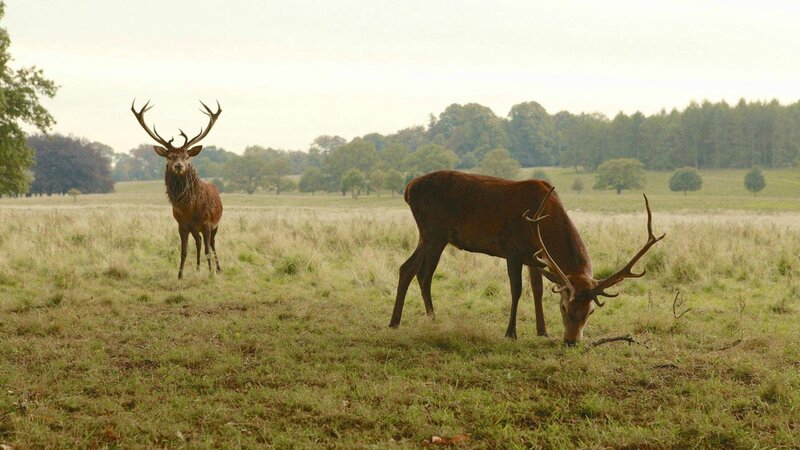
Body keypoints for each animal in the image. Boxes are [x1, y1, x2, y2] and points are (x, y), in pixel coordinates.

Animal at [131, 100, 224, 279]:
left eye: (187, 156)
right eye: (169, 156)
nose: (179, 166)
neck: (190, 209)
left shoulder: (207, 223)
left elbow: (208, 250)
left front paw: (211, 274)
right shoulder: (182, 224)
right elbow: (183, 251)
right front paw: (180, 275)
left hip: (215, 225)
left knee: (212, 244)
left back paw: (218, 268)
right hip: (195, 229)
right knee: (198, 242)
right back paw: (198, 268)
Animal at [389, 170, 664, 345]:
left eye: (590, 312)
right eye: (564, 308)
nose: (571, 341)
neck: (545, 221)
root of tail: (408, 189)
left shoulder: (536, 256)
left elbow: (538, 289)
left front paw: (542, 331)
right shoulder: (513, 249)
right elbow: (517, 289)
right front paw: (511, 333)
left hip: (434, 235)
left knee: (418, 272)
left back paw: (429, 320)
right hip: (432, 231)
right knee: (411, 269)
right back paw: (396, 322)